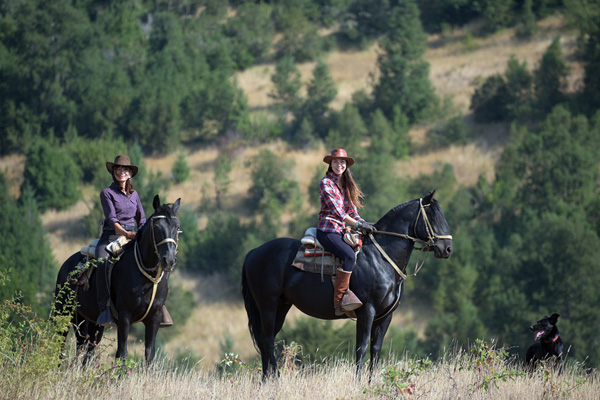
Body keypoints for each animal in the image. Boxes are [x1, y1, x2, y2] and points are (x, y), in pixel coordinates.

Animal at [53, 195, 180, 366]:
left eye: (177, 226)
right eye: (157, 227)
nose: (169, 260)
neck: (146, 277)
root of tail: (66, 264)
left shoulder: (154, 318)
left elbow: (149, 355)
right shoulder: (124, 317)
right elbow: (122, 354)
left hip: (92, 320)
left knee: (87, 349)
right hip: (63, 312)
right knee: (60, 344)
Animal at [241, 191, 452, 378]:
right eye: (433, 217)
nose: (447, 249)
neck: (380, 257)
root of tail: (254, 252)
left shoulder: (386, 315)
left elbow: (376, 349)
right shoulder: (367, 310)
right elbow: (362, 348)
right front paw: (358, 383)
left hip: (282, 305)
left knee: (265, 340)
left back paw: (266, 380)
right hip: (267, 304)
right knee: (267, 340)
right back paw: (275, 379)